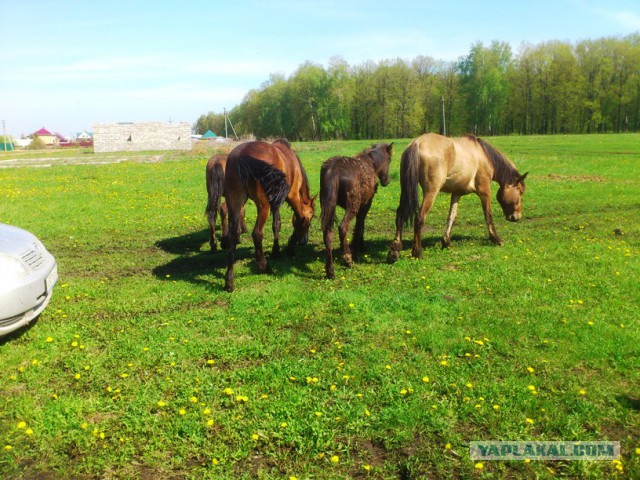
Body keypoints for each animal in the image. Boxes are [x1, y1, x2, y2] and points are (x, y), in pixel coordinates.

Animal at [221, 139, 316, 292]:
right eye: (311, 218)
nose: (304, 241)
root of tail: (241, 156)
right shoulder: (292, 195)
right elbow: (298, 217)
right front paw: (289, 247)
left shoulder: (276, 201)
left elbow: (276, 225)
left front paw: (277, 250)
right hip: (263, 205)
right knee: (257, 233)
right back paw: (263, 266)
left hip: (234, 202)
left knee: (232, 236)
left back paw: (229, 280)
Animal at [320, 142, 396, 278]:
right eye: (389, 159)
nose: (386, 181)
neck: (371, 164)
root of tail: (332, 170)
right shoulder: (366, 205)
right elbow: (360, 226)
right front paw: (358, 248)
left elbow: (360, 225)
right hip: (352, 208)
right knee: (342, 227)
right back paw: (348, 258)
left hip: (328, 206)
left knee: (327, 233)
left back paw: (330, 270)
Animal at [384, 133, 528, 262]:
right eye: (520, 192)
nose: (517, 217)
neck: (483, 156)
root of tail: (416, 143)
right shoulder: (485, 192)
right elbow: (488, 216)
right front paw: (496, 239)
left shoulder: (456, 193)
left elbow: (451, 217)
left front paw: (446, 242)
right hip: (431, 192)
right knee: (419, 218)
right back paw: (417, 252)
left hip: (406, 189)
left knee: (400, 215)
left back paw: (394, 252)